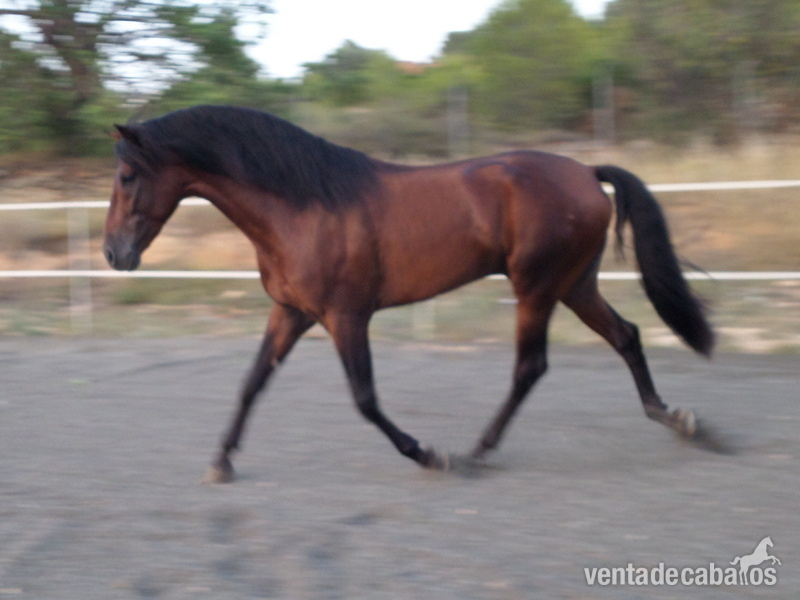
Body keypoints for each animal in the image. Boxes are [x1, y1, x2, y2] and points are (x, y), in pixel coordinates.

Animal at [103, 105, 713, 483]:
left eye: (127, 177)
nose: (113, 254)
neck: (301, 205)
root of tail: (586, 172)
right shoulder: (292, 313)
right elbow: (251, 384)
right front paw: (221, 463)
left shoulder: (346, 316)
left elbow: (365, 399)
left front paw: (427, 454)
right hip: (574, 285)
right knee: (626, 336)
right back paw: (679, 420)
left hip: (537, 288)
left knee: (530, 367)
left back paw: (474, 452)